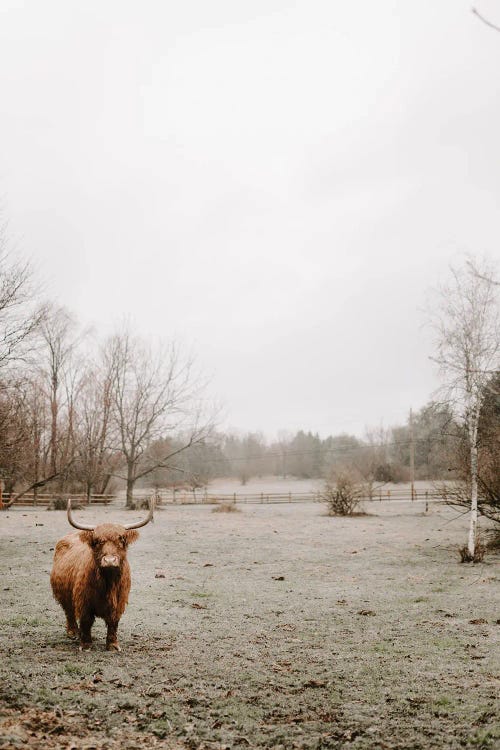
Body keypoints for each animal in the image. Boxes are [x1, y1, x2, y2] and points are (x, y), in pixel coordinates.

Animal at [50, 502, 153, 656]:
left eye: (121, 539)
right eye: (97, 541)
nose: (109, 560)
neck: (108, 582)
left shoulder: (119, 602)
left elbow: (113, 623)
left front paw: (113, 645)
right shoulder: (84, 602)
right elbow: (86, 621)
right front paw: (86, 645)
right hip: (63, 595)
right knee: (69, 612)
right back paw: (73, 632)